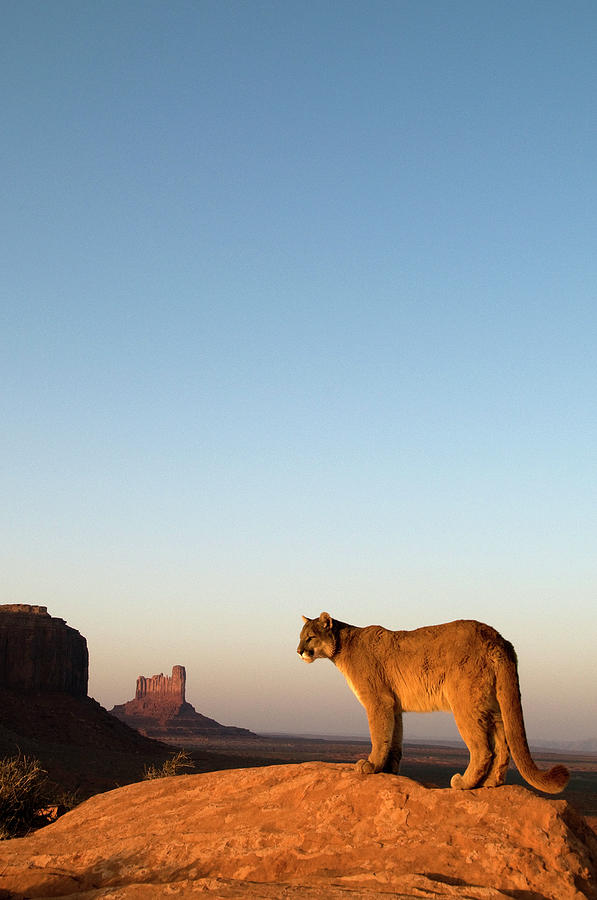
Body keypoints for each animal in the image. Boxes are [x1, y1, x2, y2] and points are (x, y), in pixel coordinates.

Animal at [298, 612, 568, 796]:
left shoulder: (378, 701)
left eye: (310, 637)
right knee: (503, 742)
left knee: (483, 749)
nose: (299, 651)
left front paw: (371, 765)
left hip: (464, 702)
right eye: (300, 637)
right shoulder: (394, 706)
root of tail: (498, 638)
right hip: (490, 703)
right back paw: (491, 783)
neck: (343, 645)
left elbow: (379, 734)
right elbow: (394, 739)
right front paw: (388, 770)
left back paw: (464, 783)